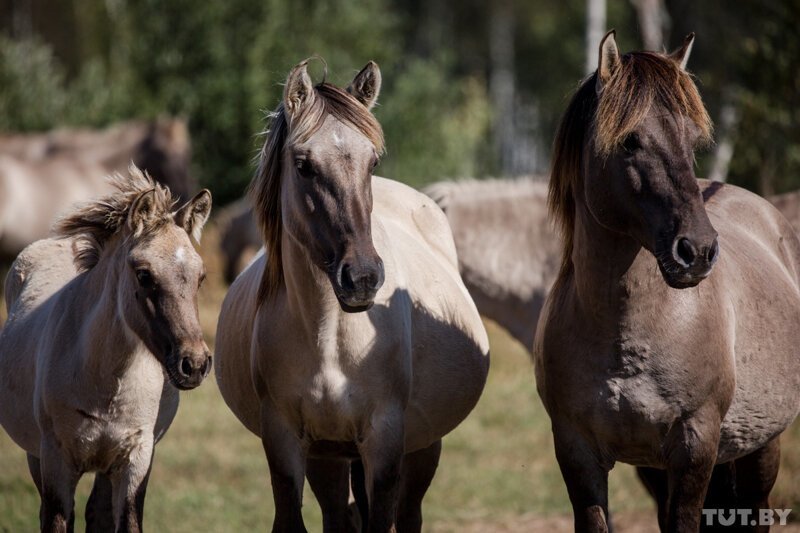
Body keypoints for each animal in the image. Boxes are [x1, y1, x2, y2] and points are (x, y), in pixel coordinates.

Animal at [0, 167, 212, 532]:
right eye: (144, 275)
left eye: (200, 277)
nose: (195, 364)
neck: (106, 378)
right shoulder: (56, 461)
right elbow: (56, 519)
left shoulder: (135, 460)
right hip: (35, 454)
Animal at [212, 60, 488, 528]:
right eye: (303, 165)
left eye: (372, 161)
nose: (362, 278)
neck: (329, 338)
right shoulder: (287, 444)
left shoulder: (386, 441)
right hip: (330, 457)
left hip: (422, 448)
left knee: (409, 515)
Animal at [532, 31, 800, 528]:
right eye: (629, 141)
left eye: (692, 140)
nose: (697, 251)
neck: (627, 336)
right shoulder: (578, 454)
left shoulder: (695, 446)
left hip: (760, 448)